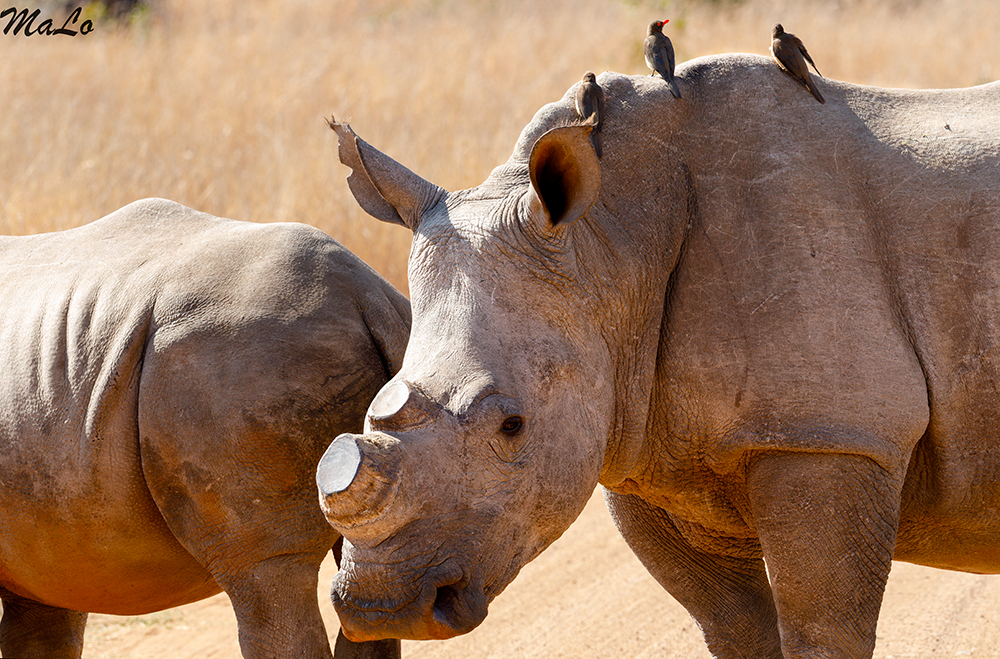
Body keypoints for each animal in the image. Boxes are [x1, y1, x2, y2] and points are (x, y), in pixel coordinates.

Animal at [318, 53, 1000, 658]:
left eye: (512, 426)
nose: (381, 606)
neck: (611, 246)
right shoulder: (646, 450)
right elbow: (735, 630)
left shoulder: (828, 432)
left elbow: (824, 633)